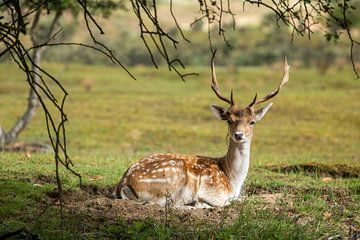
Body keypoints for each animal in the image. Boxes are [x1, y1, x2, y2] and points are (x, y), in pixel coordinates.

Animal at [115, 51, 290, 208]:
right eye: (229, 120)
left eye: (252, 122)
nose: (239, 135)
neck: (232, 180)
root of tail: (123, 183)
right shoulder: (213, 192)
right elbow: (232, 201)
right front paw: (199, 203)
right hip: (172, 179)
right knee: (161, 203)